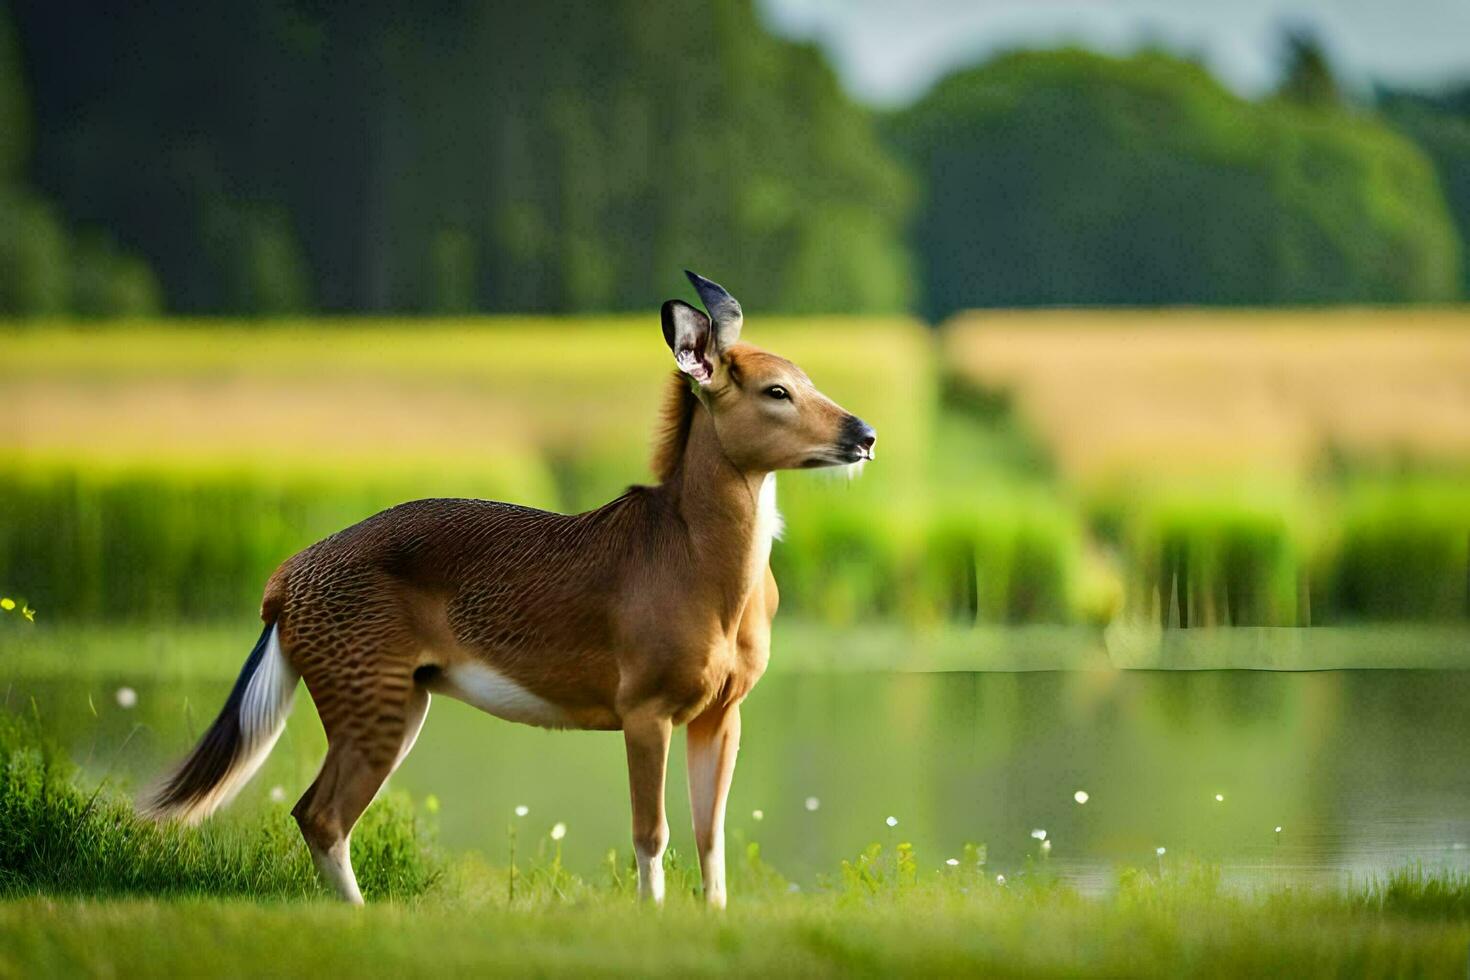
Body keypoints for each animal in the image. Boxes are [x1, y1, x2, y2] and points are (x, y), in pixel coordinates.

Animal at [140, 270, 870, 910]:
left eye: (808, 379)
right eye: (776, 391)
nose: (864, 434)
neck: (701, 572)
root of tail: (282, 584)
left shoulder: (724, 707)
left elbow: (711, 832)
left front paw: (712, 917)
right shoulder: (643, 701)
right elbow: (651, 831)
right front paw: (650, 916)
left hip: (399, 693)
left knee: (317, 811)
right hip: (365, 685)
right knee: (321, 814)